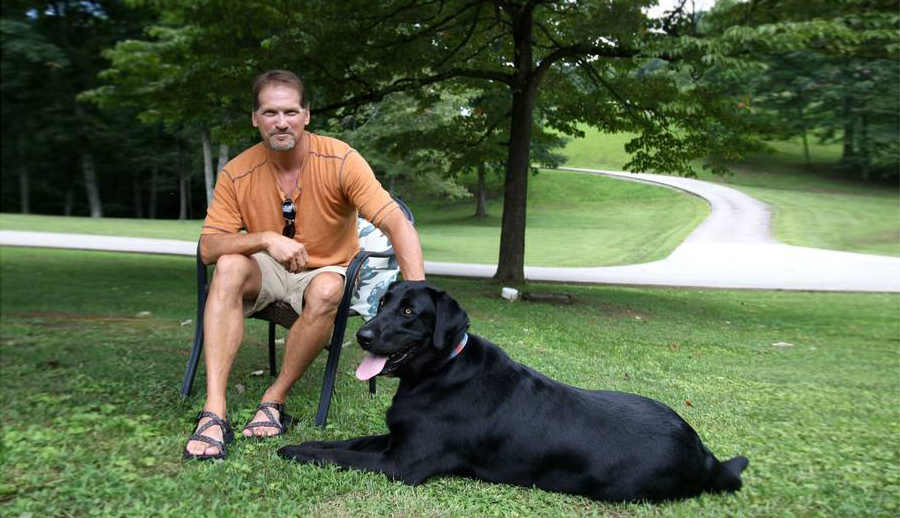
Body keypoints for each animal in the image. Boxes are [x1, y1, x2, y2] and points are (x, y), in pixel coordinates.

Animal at [280, 282, 744, 506]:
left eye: (410, 312)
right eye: (382, 304)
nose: (362, 336)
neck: (439, 371)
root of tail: (705, 452)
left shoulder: (402, 464)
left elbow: (342, 456)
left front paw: (297, 452)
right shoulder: (396, 439)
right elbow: (345, 442)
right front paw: (301, 443)